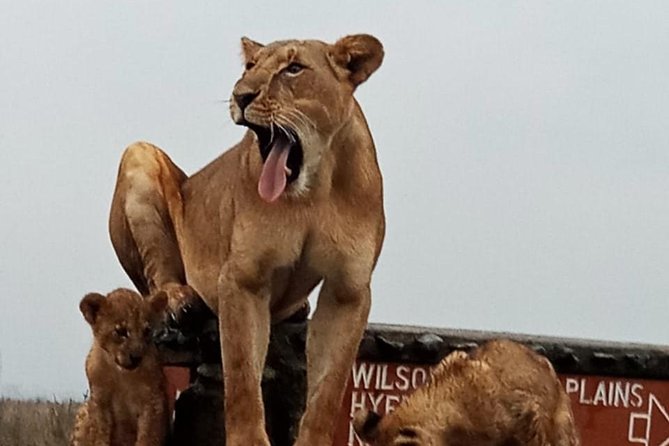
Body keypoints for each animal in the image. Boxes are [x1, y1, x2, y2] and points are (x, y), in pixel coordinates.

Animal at [71, 288, 170, 446]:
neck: (122, 375)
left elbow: (148, 436)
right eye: (121, 331)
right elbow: (99, 435)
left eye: (147, 331)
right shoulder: (99, 403)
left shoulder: (153, 402)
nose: (136, 357)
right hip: (84, 409)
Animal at [108, 34, 385, 445]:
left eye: (293, 68)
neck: (313, 192)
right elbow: (241, 376)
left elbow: (328, 389)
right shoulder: (243, 278)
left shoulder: (347, 290)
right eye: (250, 67)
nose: (240, 96)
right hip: (139, 153)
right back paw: (181, 302)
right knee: (157, 279)